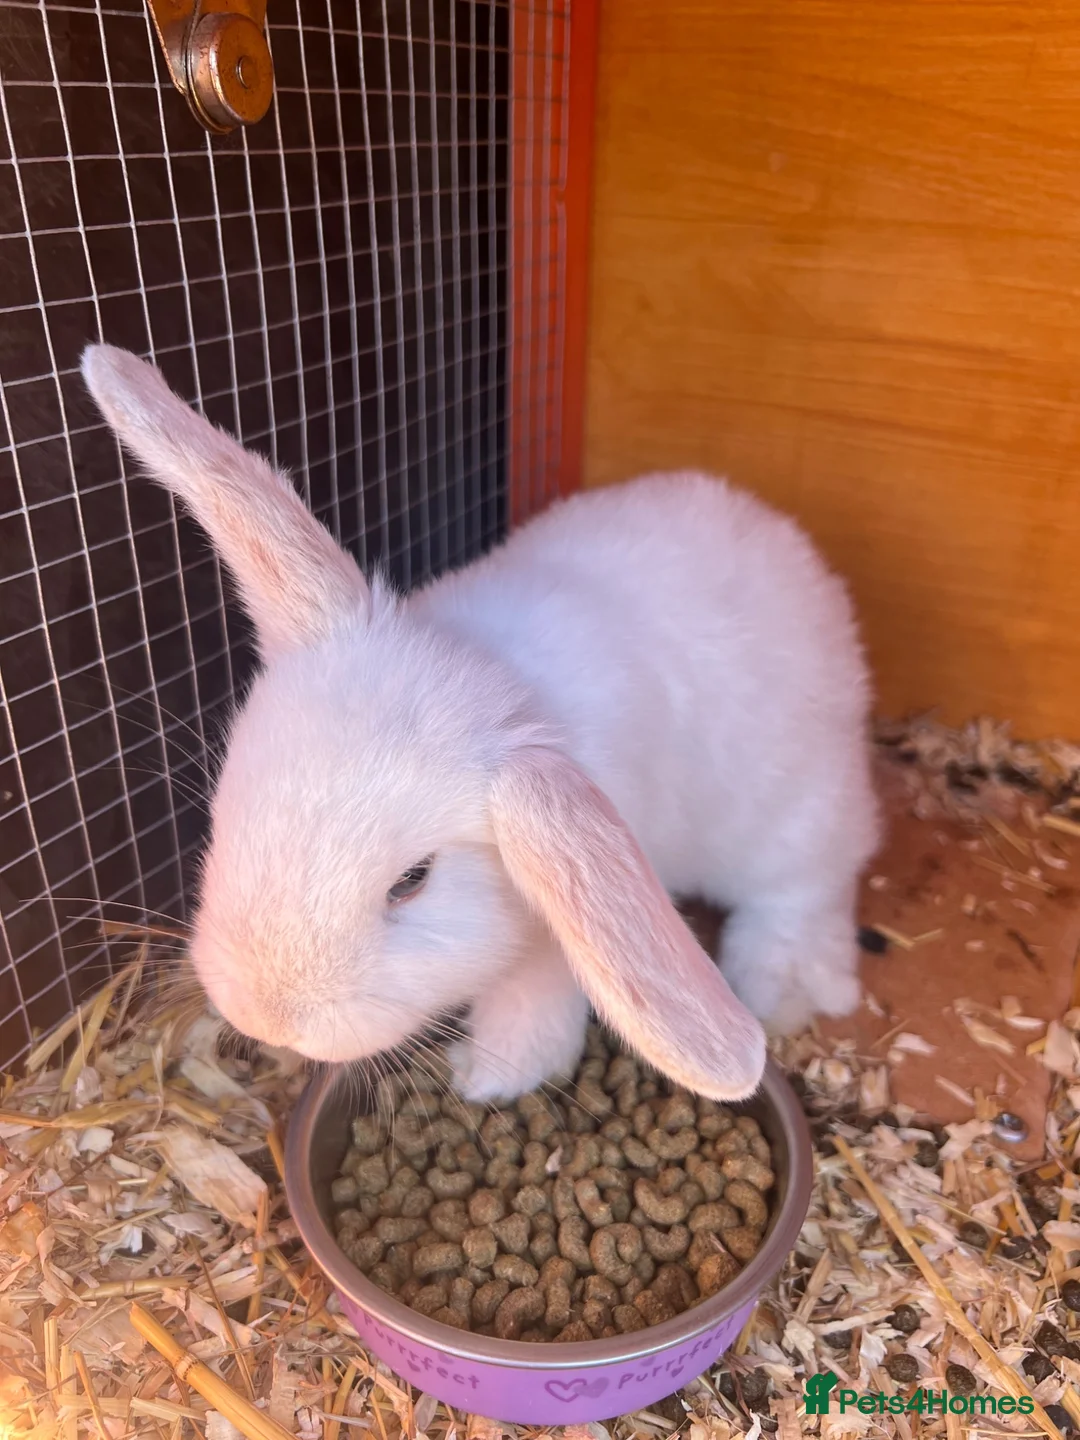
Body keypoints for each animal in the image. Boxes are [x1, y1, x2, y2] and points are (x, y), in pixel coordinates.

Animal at [81, 343, 879, 1104]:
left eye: (412, 881)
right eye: (226, 817)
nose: (265, 1014)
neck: (493, 673)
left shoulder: (556, 933)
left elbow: (535, 1004)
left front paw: (484, 1077)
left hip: (798, 817)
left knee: (809, 887)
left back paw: (782, 985)